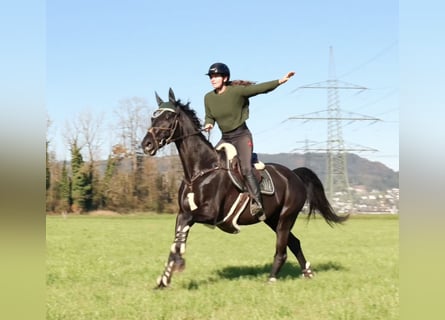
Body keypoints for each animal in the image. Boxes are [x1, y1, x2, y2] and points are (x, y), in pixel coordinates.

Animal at [140, 89, 346, 288]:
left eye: (169, 117)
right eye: (153, 117)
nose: (146, 144)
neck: (200, 170)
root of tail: (294, 176)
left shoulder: (209, 214)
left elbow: (181, 233)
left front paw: (177, 264)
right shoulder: (183, 212)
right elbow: (177, 238)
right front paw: (164, 280)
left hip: (285, 218)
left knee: (282, 250)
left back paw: (271, 279)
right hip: (272, 219)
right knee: (294, 243)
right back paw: (308, 272)